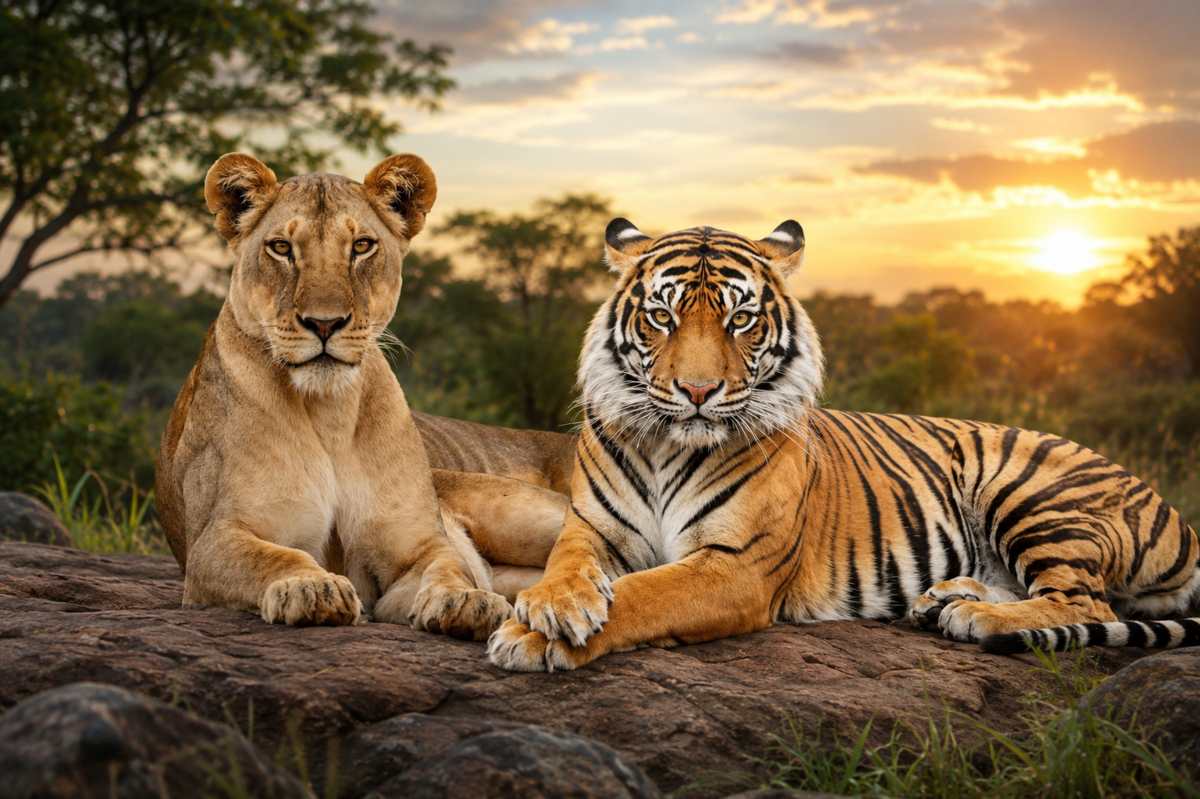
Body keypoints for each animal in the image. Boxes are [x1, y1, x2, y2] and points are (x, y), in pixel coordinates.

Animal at [156, 152, 572, 638]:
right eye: (281, 247)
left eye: (361, 247)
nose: (324, 323)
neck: (329, 411)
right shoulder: (214, 540)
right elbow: (272, 556)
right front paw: (311, 588)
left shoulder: (416, 547)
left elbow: (448, 566)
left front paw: (466, 601)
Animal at [486, 218, 1200, 671]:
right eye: (662, 316)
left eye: (740, 319)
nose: (697, 390)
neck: (668, 447)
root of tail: (1180, 518)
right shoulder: (591, 528)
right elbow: (563, 564)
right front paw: (549, 606)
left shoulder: (737, 565)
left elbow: (645, 593)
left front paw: (530, 635)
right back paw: (945, 599)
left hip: (1026, 489)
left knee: (1081, 599)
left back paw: (976, 618)